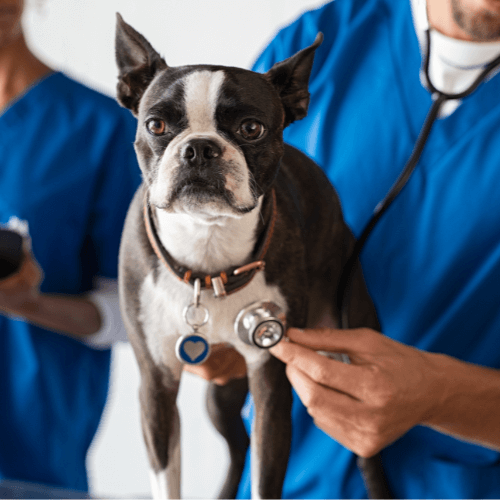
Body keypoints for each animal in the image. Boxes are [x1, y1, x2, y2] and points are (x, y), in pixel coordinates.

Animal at [115, 14, 384, 500]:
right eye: (156, 125)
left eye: (251, 129)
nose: (199, 147)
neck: (207, 253)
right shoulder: (157, 385)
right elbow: (167, 476)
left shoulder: (270, 382)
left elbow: (265, 475)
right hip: (220, 395)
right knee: (237, 444)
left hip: (350, 348)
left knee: (364, 452)